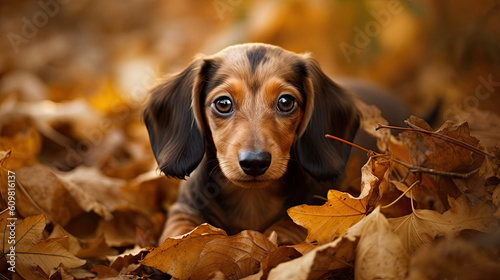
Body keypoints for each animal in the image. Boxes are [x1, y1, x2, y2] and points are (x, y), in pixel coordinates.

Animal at [143, 42, 362, 244]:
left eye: (286, 102)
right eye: (223, 103)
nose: (255, 162)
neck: (251, 198)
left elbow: (288, 225)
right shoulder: (183, 211)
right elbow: (178, 234)